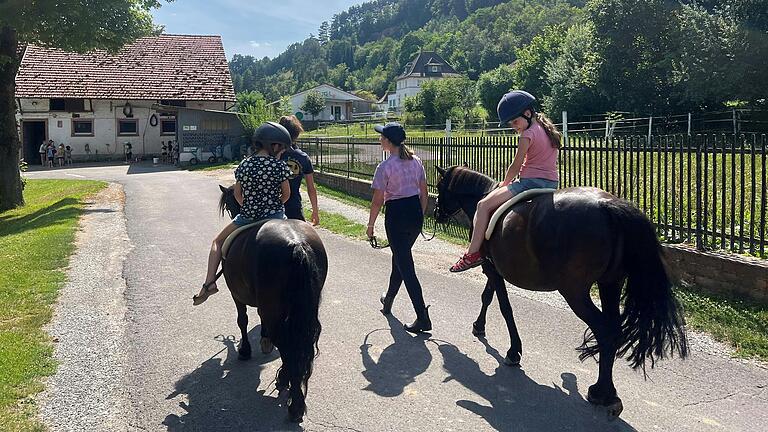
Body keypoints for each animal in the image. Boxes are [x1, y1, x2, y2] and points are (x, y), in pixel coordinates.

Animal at [216, 185, 328, 422]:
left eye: (229, 203)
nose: (233, 212)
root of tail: (297, 244)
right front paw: (264, 340)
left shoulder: (236, 295)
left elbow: (242, 320)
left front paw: (245, 350)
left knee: (285, 343)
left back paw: (294, 403)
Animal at [432, 164, 688, 416]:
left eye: (440, 186)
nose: (436, 213)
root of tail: (608, 205)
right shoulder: (495, 268)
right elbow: (488, 296)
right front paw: (479, 325)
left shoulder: (491, 268)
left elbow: (504, 307)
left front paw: (513, 351)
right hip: (611, 283)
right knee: (614, 329)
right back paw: (609, 393)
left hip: (575, 292)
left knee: (604, 330)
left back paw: (601, 392)